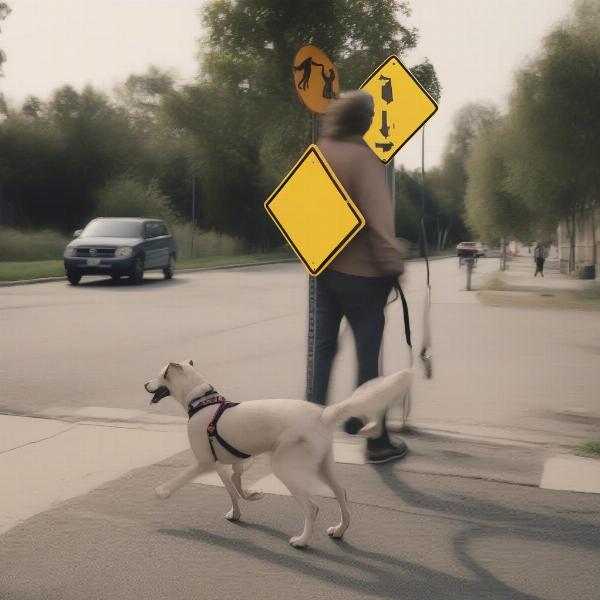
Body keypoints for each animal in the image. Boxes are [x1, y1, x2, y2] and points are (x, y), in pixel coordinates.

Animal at [145, 360, 412, 548]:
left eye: (160, 376)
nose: (145, 384)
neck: (202, 402)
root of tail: (322, 414)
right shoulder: (230, 464)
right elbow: (234, 488)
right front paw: (246, 502)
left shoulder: (203, 463)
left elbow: (182, 479)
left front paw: (162, 492)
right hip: (323, 466)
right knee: (341, 493)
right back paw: (339, 530)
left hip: (286, 468)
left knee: (312, 508)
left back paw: (302, 541)